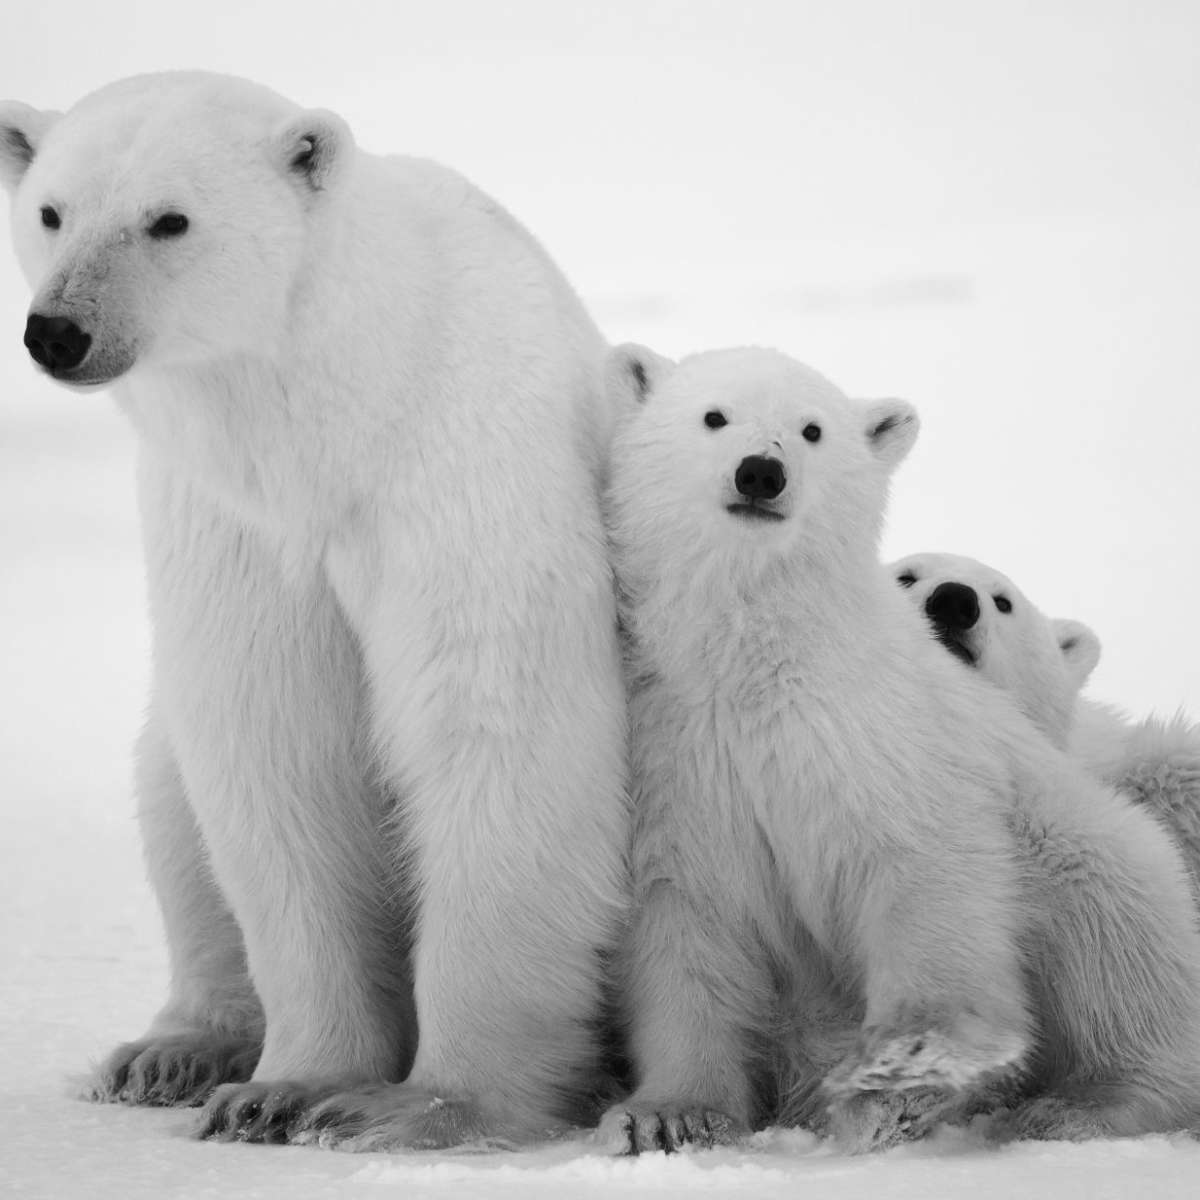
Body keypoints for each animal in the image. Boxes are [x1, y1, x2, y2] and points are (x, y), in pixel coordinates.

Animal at [0, 70, 633, 1147]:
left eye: (168, 219)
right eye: (51, 211)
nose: (60, 332)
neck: (339, 415)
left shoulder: (463, 470)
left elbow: (497, 729)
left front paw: (421, 1105)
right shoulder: (234, 524)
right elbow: (273, 744)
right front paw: (282, 1088)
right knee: (169, 796)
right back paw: (174, 1050)